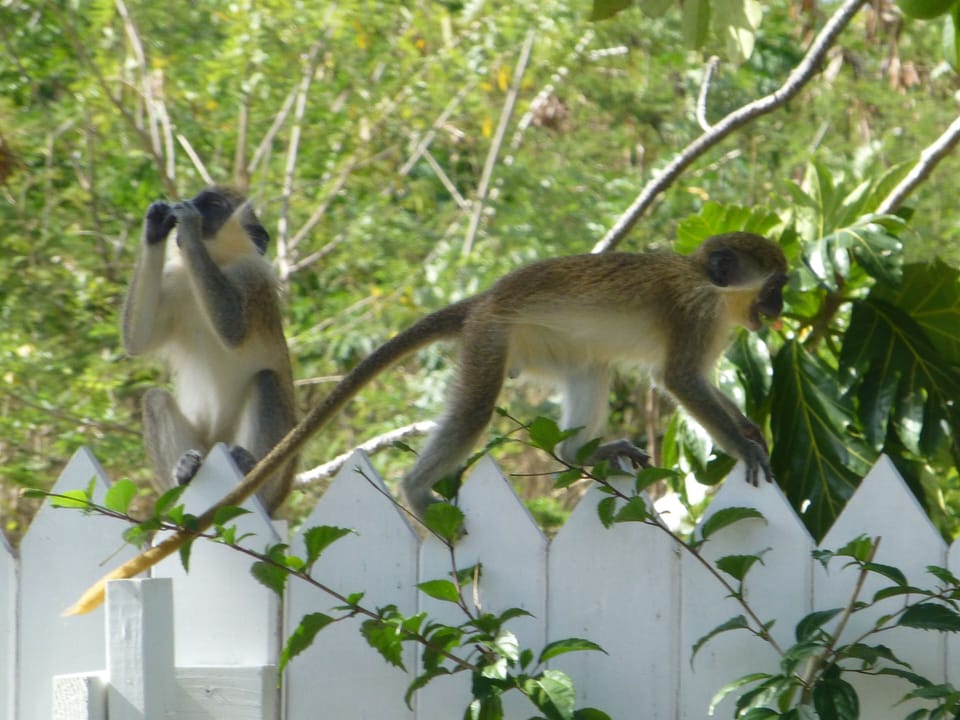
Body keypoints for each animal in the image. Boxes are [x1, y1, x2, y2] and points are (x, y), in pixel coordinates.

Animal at [68, 231, 786, 615]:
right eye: (775, 285)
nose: (780, 310)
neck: (712, 288)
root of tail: (485, 299)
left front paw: (752, 432)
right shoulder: (696, 315)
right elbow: (683, 383)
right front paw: (748, 448)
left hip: (542, 347)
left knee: (590, 370)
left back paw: (586, 455)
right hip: (492, 339)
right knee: (473, 410)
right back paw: (416, 488)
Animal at [121, 186, 297, 516]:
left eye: (214, 204)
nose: (188, 203)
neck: (217, 261)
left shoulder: (253, 277)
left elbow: (233, 328)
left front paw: (189, 225)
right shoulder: (174, 279)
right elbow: (136, 340)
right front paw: (155, 223)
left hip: (276, 477)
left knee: (266, 380)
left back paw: (249, 470)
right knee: (155, 399)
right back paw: (183, 475)